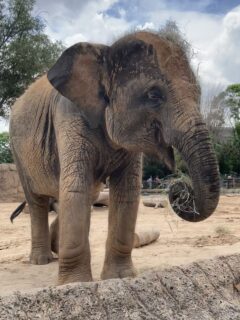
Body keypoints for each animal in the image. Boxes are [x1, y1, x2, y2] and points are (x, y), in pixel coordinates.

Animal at [8, 30, 219, 284]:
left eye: (198, 94)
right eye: (154, 95)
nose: (178, 187)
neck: (104, 55)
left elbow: (126, 192)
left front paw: (119, 278)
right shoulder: (69, 116)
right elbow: (76, 188)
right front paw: (75, 284)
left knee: (83, 195)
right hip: (18, 152)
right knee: (38, 201)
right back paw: (41, 260)